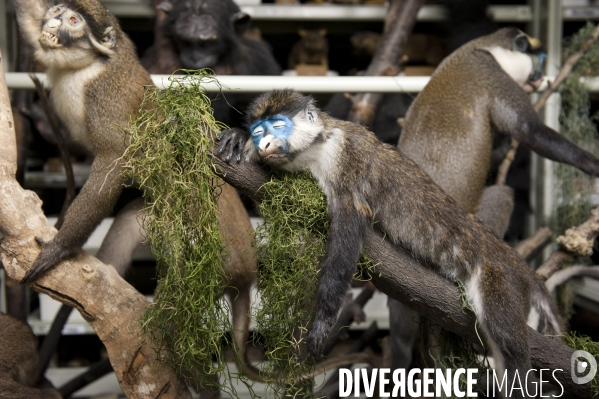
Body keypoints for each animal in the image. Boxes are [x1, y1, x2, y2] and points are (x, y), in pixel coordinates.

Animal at [12, 0, 262, 384]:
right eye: (55, 11)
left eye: (73, 20)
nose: (52, 25)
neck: (86, 66)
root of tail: (247, 274)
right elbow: (27, 16)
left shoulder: (105, 95)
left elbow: (113, 160)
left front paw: (59, 247)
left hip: (217, 259)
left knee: (178, 318)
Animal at [216, 89, 596, 398]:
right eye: (259, 130)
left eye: (278, 126)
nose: (263, 143)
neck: (318, 145)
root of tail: (514, 260)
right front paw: (238, 140)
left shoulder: (347, 159)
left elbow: (348, 228)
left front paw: (323, 322)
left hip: (498, 280)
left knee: (511, 347)